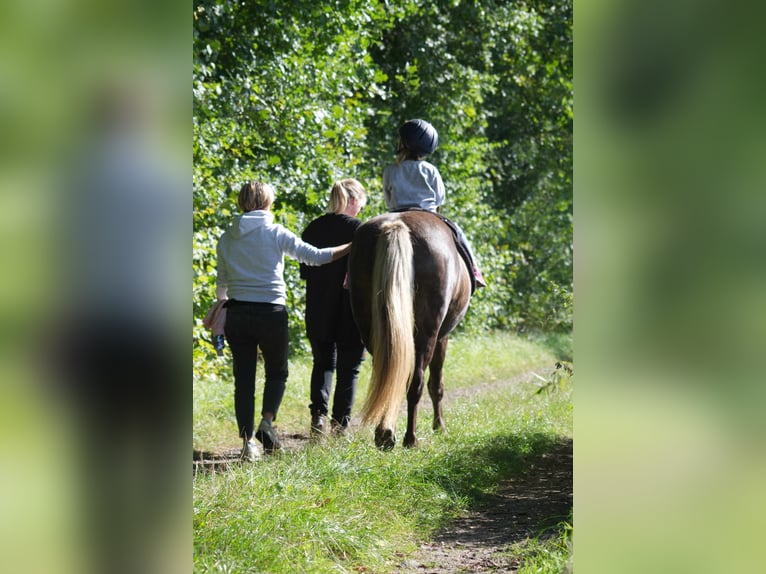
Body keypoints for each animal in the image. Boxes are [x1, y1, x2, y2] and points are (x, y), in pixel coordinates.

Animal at [350, 209, 474, 452]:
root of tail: (396, 224)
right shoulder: (442, 337)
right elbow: (436, 384)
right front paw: (439, 427)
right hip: (427, 334)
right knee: (416, 381)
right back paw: (411, 438)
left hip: (370, 328)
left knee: (386, 374)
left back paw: (384, 434)